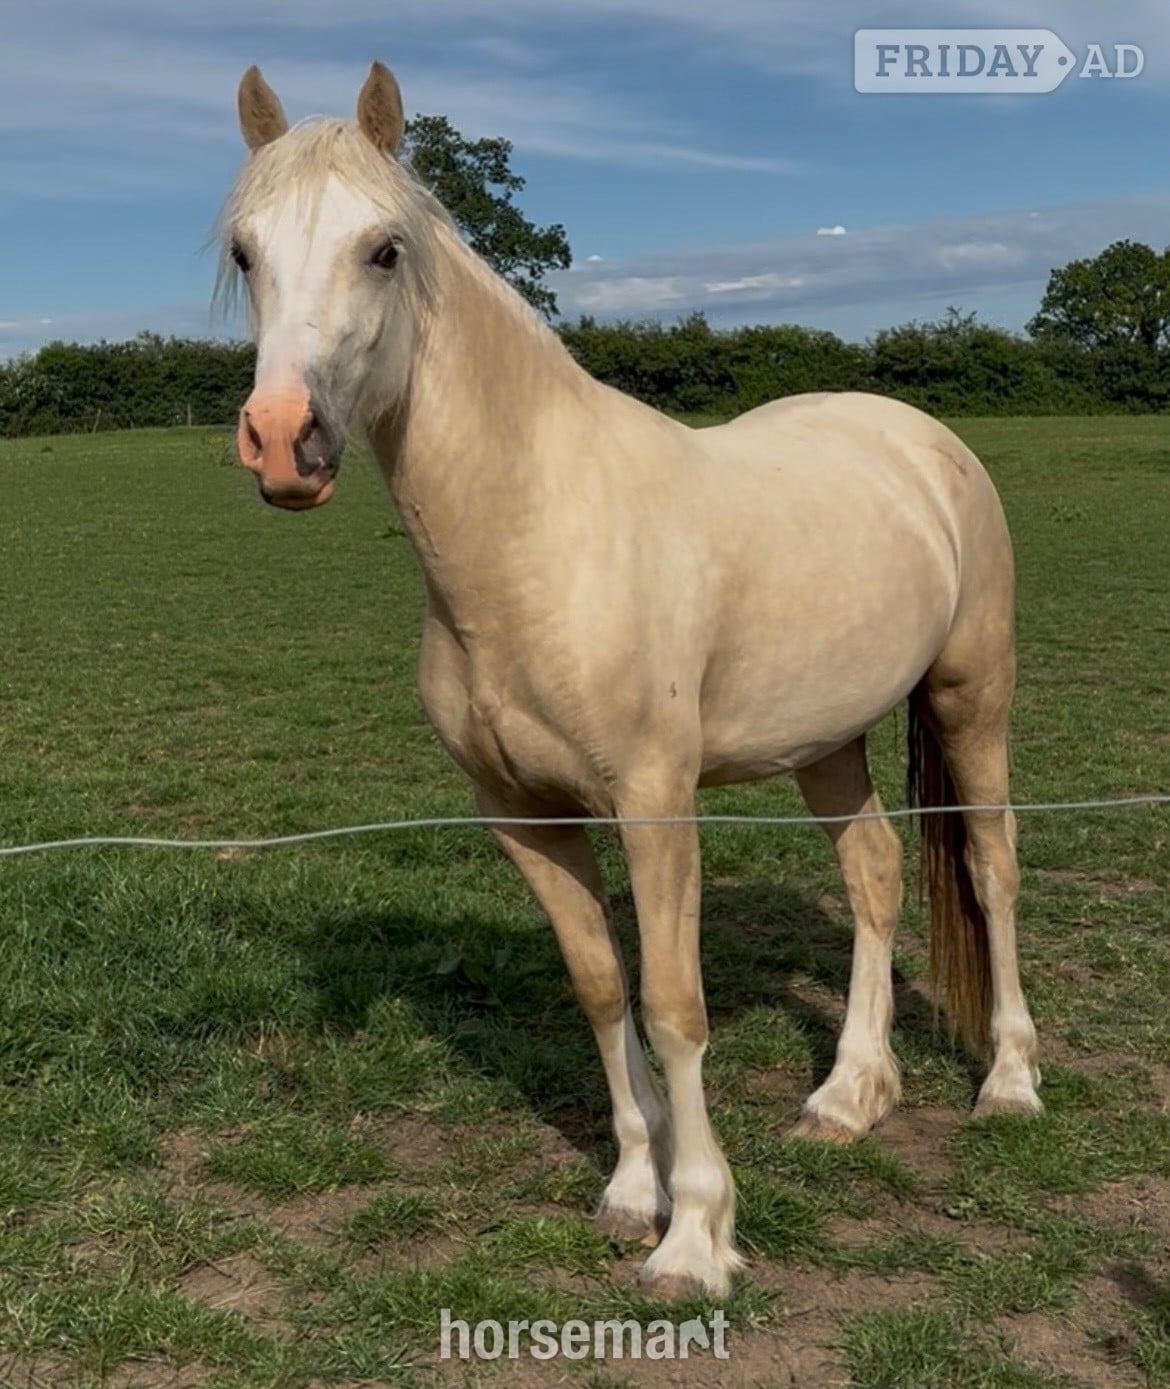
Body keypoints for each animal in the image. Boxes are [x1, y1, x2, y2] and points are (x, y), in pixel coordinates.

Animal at [218, 60, 1041, 1298]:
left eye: (382, 249)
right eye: (245, 251)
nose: (283, 443)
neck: (536, 536)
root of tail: (915, 434)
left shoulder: (656, 807)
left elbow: (672, 1005)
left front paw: (695, 1237)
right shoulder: (522, 817)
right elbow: (602, 989)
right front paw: (628, 1189)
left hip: (967, 694)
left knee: (989, 866)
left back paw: (1010, 1083)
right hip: (827, 739)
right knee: (876, 873)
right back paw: (849, 1096)